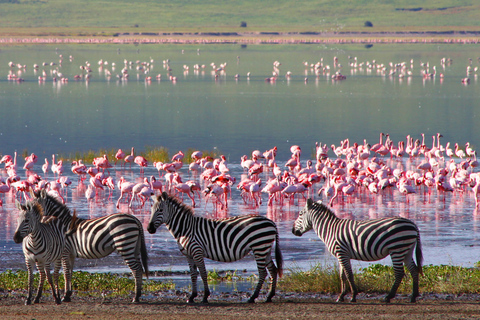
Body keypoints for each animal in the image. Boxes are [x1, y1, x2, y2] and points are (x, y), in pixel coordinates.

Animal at [148, 191, 284, 304]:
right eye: (151, 210)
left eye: (160, 210)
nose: (149, 229)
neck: (185, 229)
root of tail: (271, 222)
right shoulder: (189, 255)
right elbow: (193, 274)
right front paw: (192, 296)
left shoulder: (197, 251)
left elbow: (203, 273)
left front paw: (205, 296)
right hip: (265, 248)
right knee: (273, 269)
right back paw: (269, 296)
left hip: (259, 247)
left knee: (263, 272)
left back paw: (253, 297)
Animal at [290, 200, 422, 302]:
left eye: (300, 214)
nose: (292, 231)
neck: (330, 229)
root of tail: (413, 224)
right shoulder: (341, 255)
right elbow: (342, 276)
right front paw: (341, 296)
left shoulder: (342, 253)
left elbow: (349, 274)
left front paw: (353, 296)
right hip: (406, 250)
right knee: (413, 270)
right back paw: (413, 296)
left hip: (396, 248)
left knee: (399, 273)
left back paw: (389, 297)